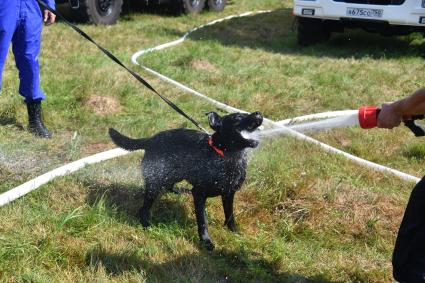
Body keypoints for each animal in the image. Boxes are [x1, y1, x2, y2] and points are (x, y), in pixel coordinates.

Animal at [108, 111, 262, 251]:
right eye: (238, 117)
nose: (259, 114)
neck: (225, 156)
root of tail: (150, 139)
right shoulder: (199, 194)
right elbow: (203, 221)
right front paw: (206, 241)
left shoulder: (229, 193)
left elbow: (230, 215)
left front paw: (234, 231)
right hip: (155, 180)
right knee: (144, 207)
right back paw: (146, 224)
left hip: (174, 173)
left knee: (168, 185)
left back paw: (178, 190)